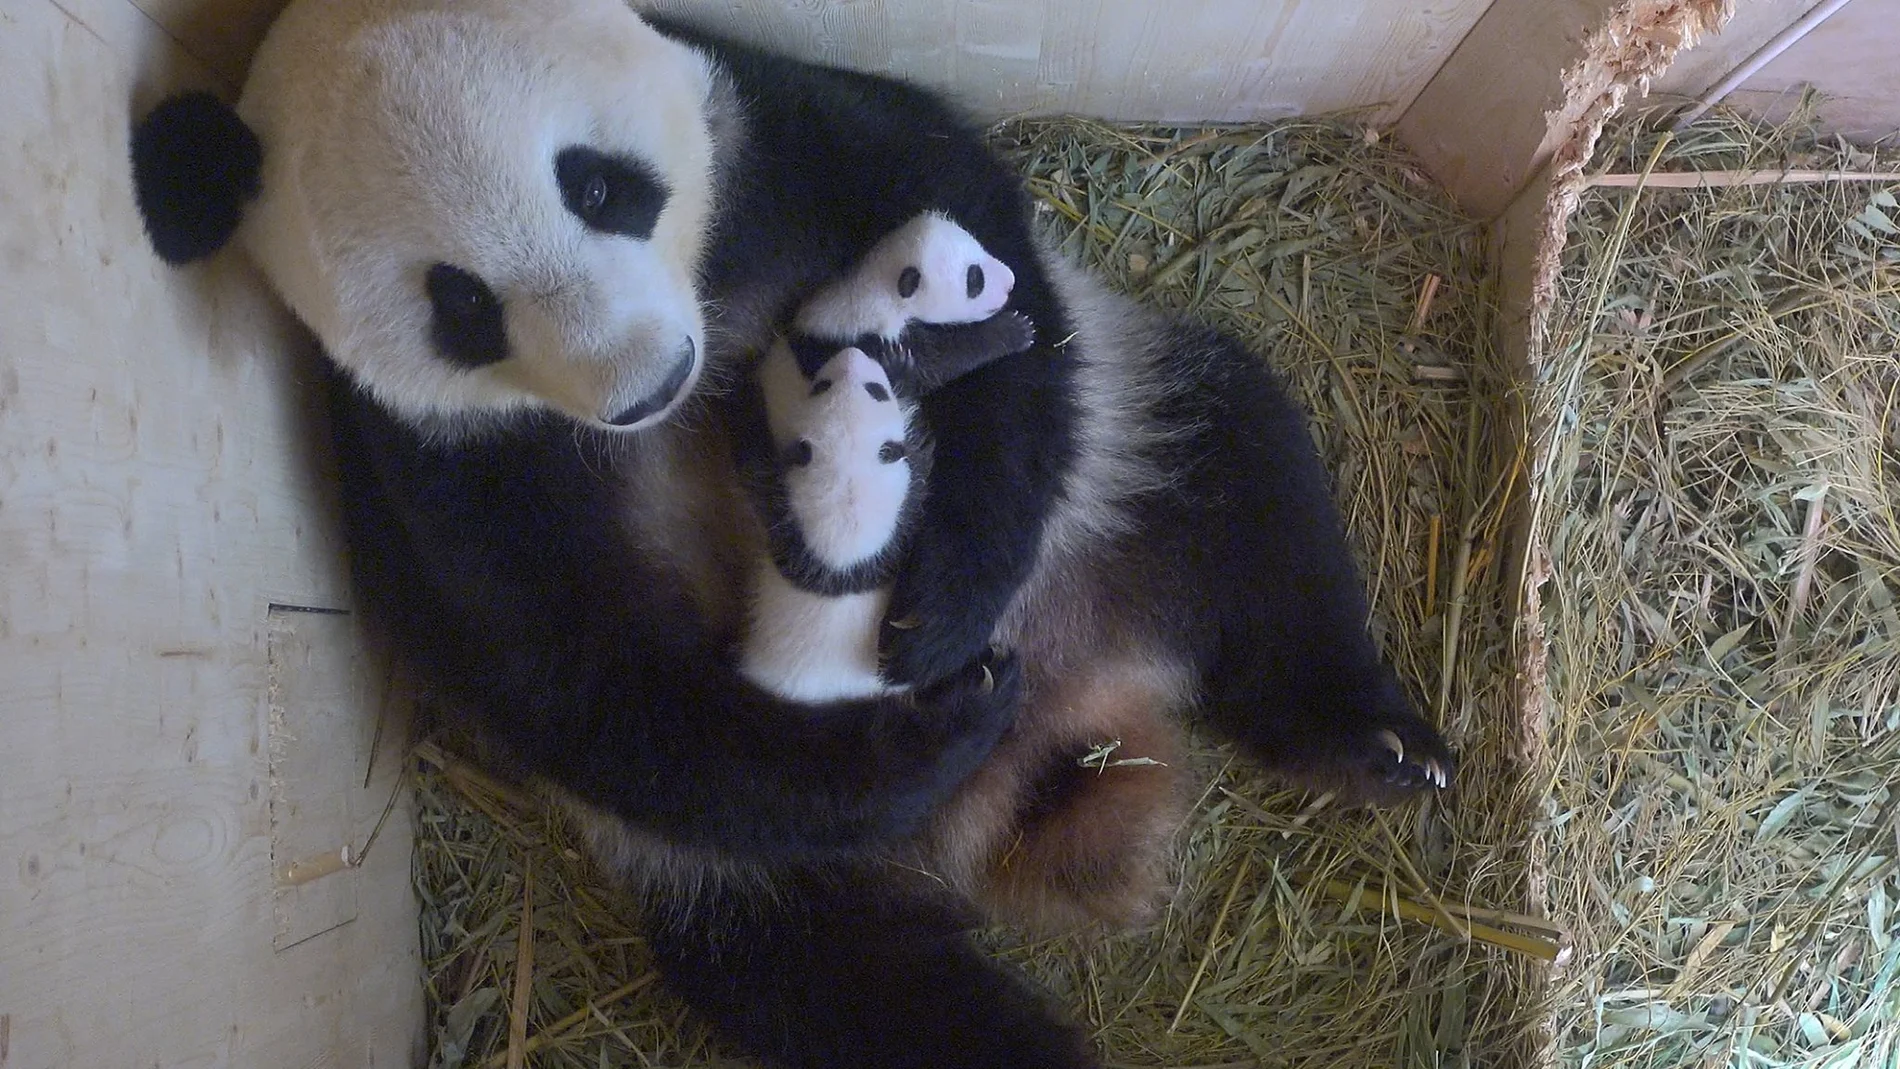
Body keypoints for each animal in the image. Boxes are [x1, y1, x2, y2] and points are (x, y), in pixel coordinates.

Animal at [127, 1, 1458, 1067]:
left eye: (597, 186)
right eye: (460, 306)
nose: (648, 380)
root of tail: (1073, 730)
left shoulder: (771, 132)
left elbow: (972, 219)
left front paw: (945, 609)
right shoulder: (440, 472)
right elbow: (579, 677)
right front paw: (926, 723)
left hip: (1124, 470)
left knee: (1248, 486)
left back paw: (1378, 744)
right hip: (757, 878)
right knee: (852, 992)